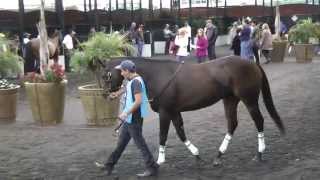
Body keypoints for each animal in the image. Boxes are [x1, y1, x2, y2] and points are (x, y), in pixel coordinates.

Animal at [103, 56, 284, 166]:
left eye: (107, 75)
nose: (106, 95)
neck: (158, 75)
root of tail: (252, 63)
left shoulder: (165, 111)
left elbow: (163, 135)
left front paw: (160, 160)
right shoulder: (174, 111)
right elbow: (181, 132)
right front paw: (196, 154)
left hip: (249, 100)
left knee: (259, 120)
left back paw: (259, 154)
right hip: (230, 100)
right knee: (232, 123)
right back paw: (219, 155)